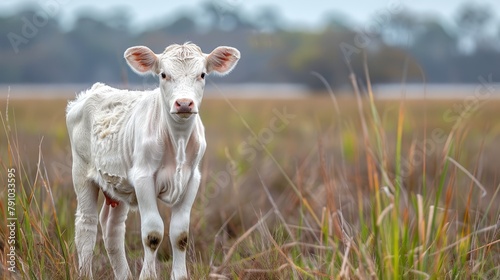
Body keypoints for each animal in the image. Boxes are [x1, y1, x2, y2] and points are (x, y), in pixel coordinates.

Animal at [66, 41, 240, 278]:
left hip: (119, 183)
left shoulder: (191, 180)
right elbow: (153, 233)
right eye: (163, 74)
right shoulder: (143, 178)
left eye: (202, 74)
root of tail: (93, 91)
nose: (183, 103)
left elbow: (180, 235)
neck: (177, 141)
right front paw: (148, 275)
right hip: (81, 172)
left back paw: (124, 275)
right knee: (86, 225)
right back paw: (85, 273)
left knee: (113, 227)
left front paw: (180, 276)